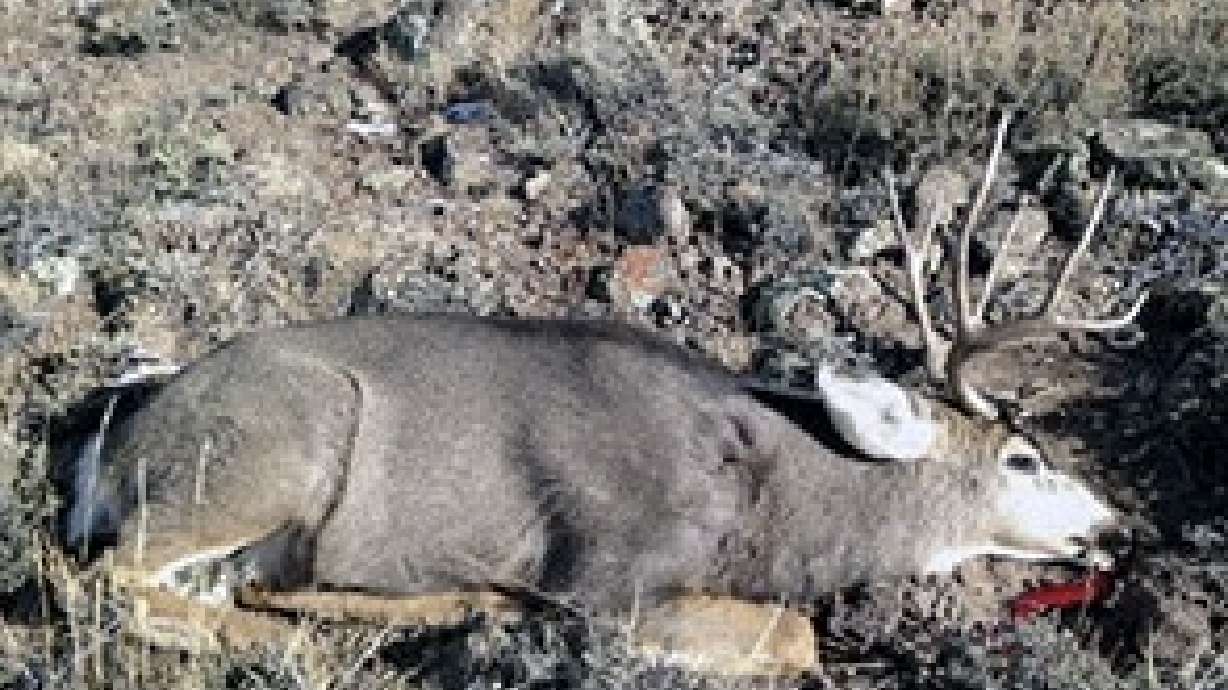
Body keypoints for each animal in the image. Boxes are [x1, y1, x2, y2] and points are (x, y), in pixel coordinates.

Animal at [62, 113, 1144, 676]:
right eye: (1023, 457)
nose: (1117, 526)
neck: (769, 494)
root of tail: (108, 446)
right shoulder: (612, 568)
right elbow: (793, 635)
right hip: (269, 453)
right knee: (107, 581)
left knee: (211, 583)